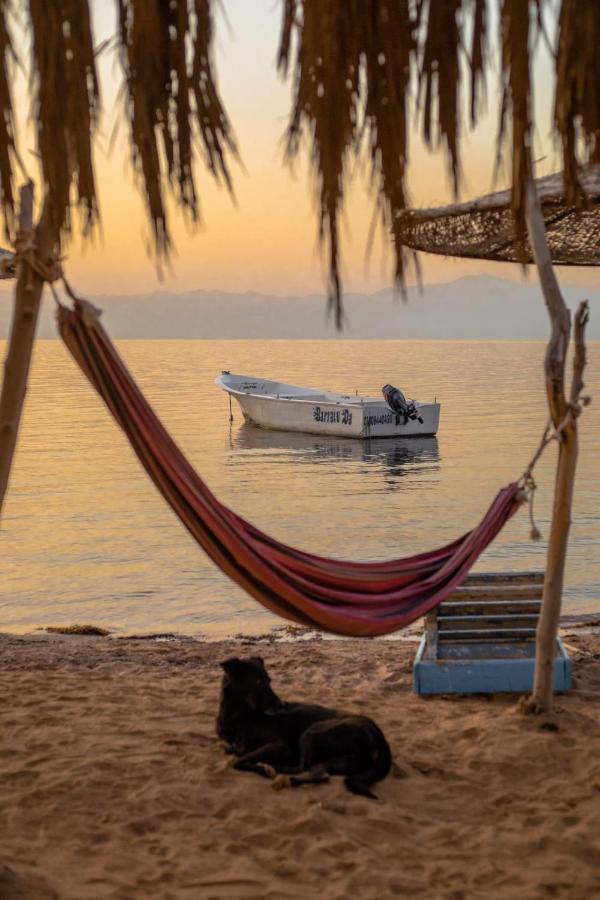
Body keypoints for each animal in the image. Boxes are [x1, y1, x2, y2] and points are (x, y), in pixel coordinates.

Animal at [218, 656, 392, 800]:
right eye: (258, 682)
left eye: (269, 680)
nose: (281, 705)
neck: (239, 717)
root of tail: (380, 737)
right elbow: (234, 752)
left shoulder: (281, 746)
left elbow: (237, 760)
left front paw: (264, 769)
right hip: (341, 760)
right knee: (320, 774)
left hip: (312, 731)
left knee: (306, 769)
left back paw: (280, 774)